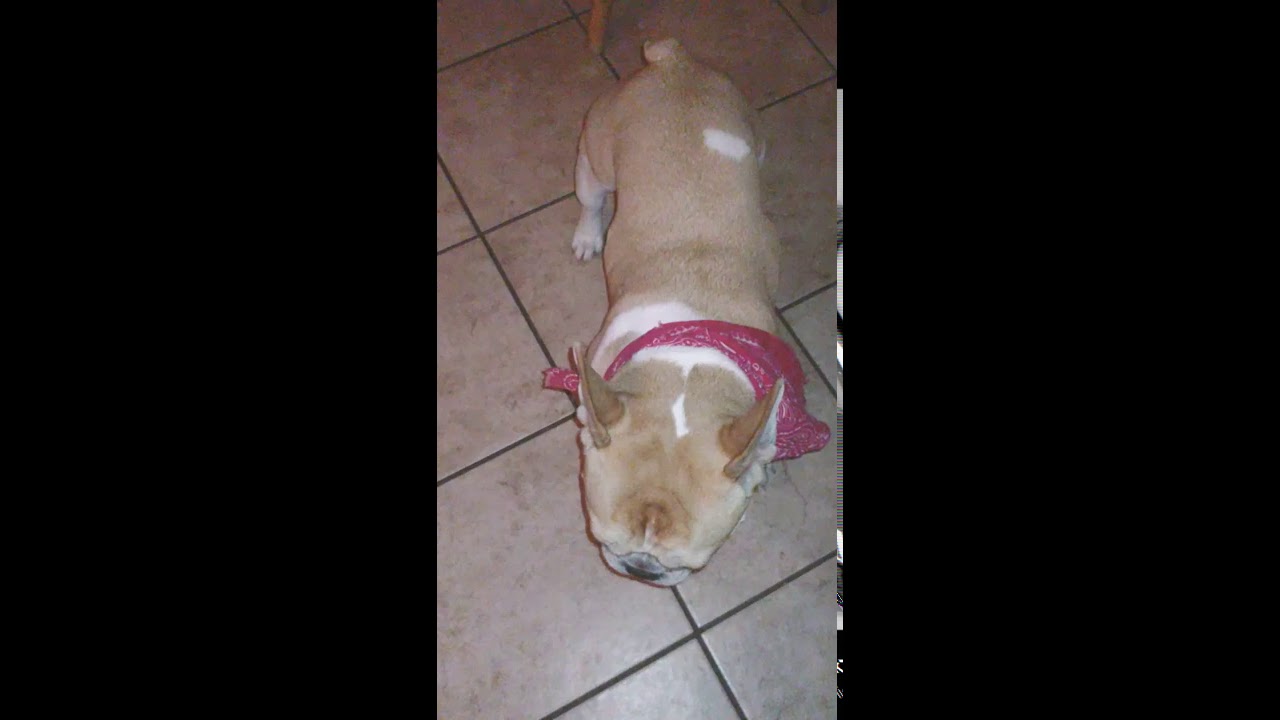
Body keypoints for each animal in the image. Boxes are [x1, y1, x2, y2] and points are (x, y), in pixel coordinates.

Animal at [544, 39, 830, 586]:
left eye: (693, 563)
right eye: (603, 540)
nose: (640, 570)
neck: (686, 364)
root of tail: (669, 61)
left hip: (753, 138)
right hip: (594, 162)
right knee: (592, 199)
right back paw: (589, 234)